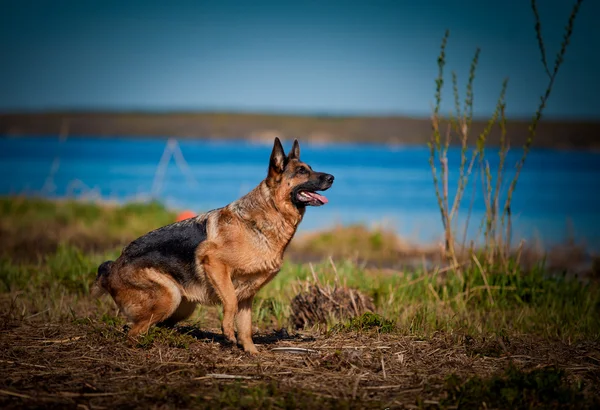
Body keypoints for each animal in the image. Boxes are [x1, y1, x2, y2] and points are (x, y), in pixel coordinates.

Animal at [91, 138, 332, 352]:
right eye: (301, 171)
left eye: (309, 169)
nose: (332, 177)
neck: (267, 214)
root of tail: (111, 267)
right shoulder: (215, 264)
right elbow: (231, 302)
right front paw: (227, 332)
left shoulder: (248, 295)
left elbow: (246, 328)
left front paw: (251, 352)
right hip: (169, 297)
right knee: (133, 333)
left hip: (183, 307)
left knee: (149, 326)